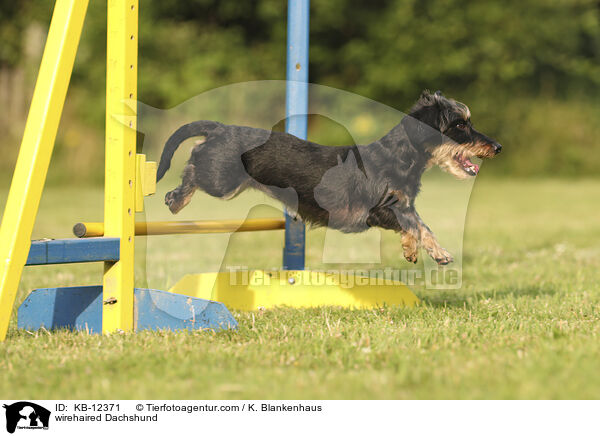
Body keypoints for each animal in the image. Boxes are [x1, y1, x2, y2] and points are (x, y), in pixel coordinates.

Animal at [156, 90, 502, 264]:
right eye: (459, 124)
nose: (498, 147)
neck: (398, 157)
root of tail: (219, 127)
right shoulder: (377, 211)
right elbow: (416, 226)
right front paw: (437, 253)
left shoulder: (403, 205)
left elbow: (419, 225)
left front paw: (416, 251)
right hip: (222, 181)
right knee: (193, 163)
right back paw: (174, 199)